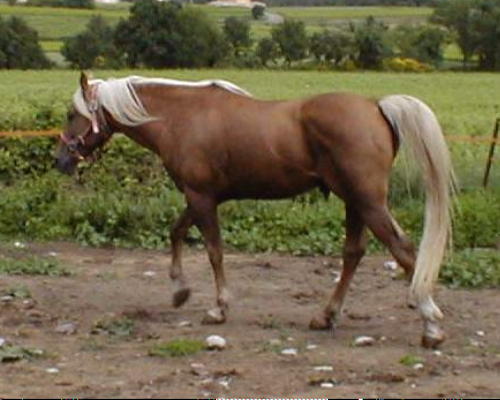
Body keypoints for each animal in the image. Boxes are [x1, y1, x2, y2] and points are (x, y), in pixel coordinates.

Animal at [56, 73, 456, 348]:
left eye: (72, 113)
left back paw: (431, 325)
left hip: (368, 202)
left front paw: (218, 308)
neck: (180, 118)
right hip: (355, 202)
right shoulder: (200, 198)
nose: (61, 160)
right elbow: (176, 232)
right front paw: (179, 290)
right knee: (353, 254)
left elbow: (214, 251)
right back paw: (326, 316)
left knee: (403, 250)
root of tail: (376, 106)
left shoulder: (201, 197)